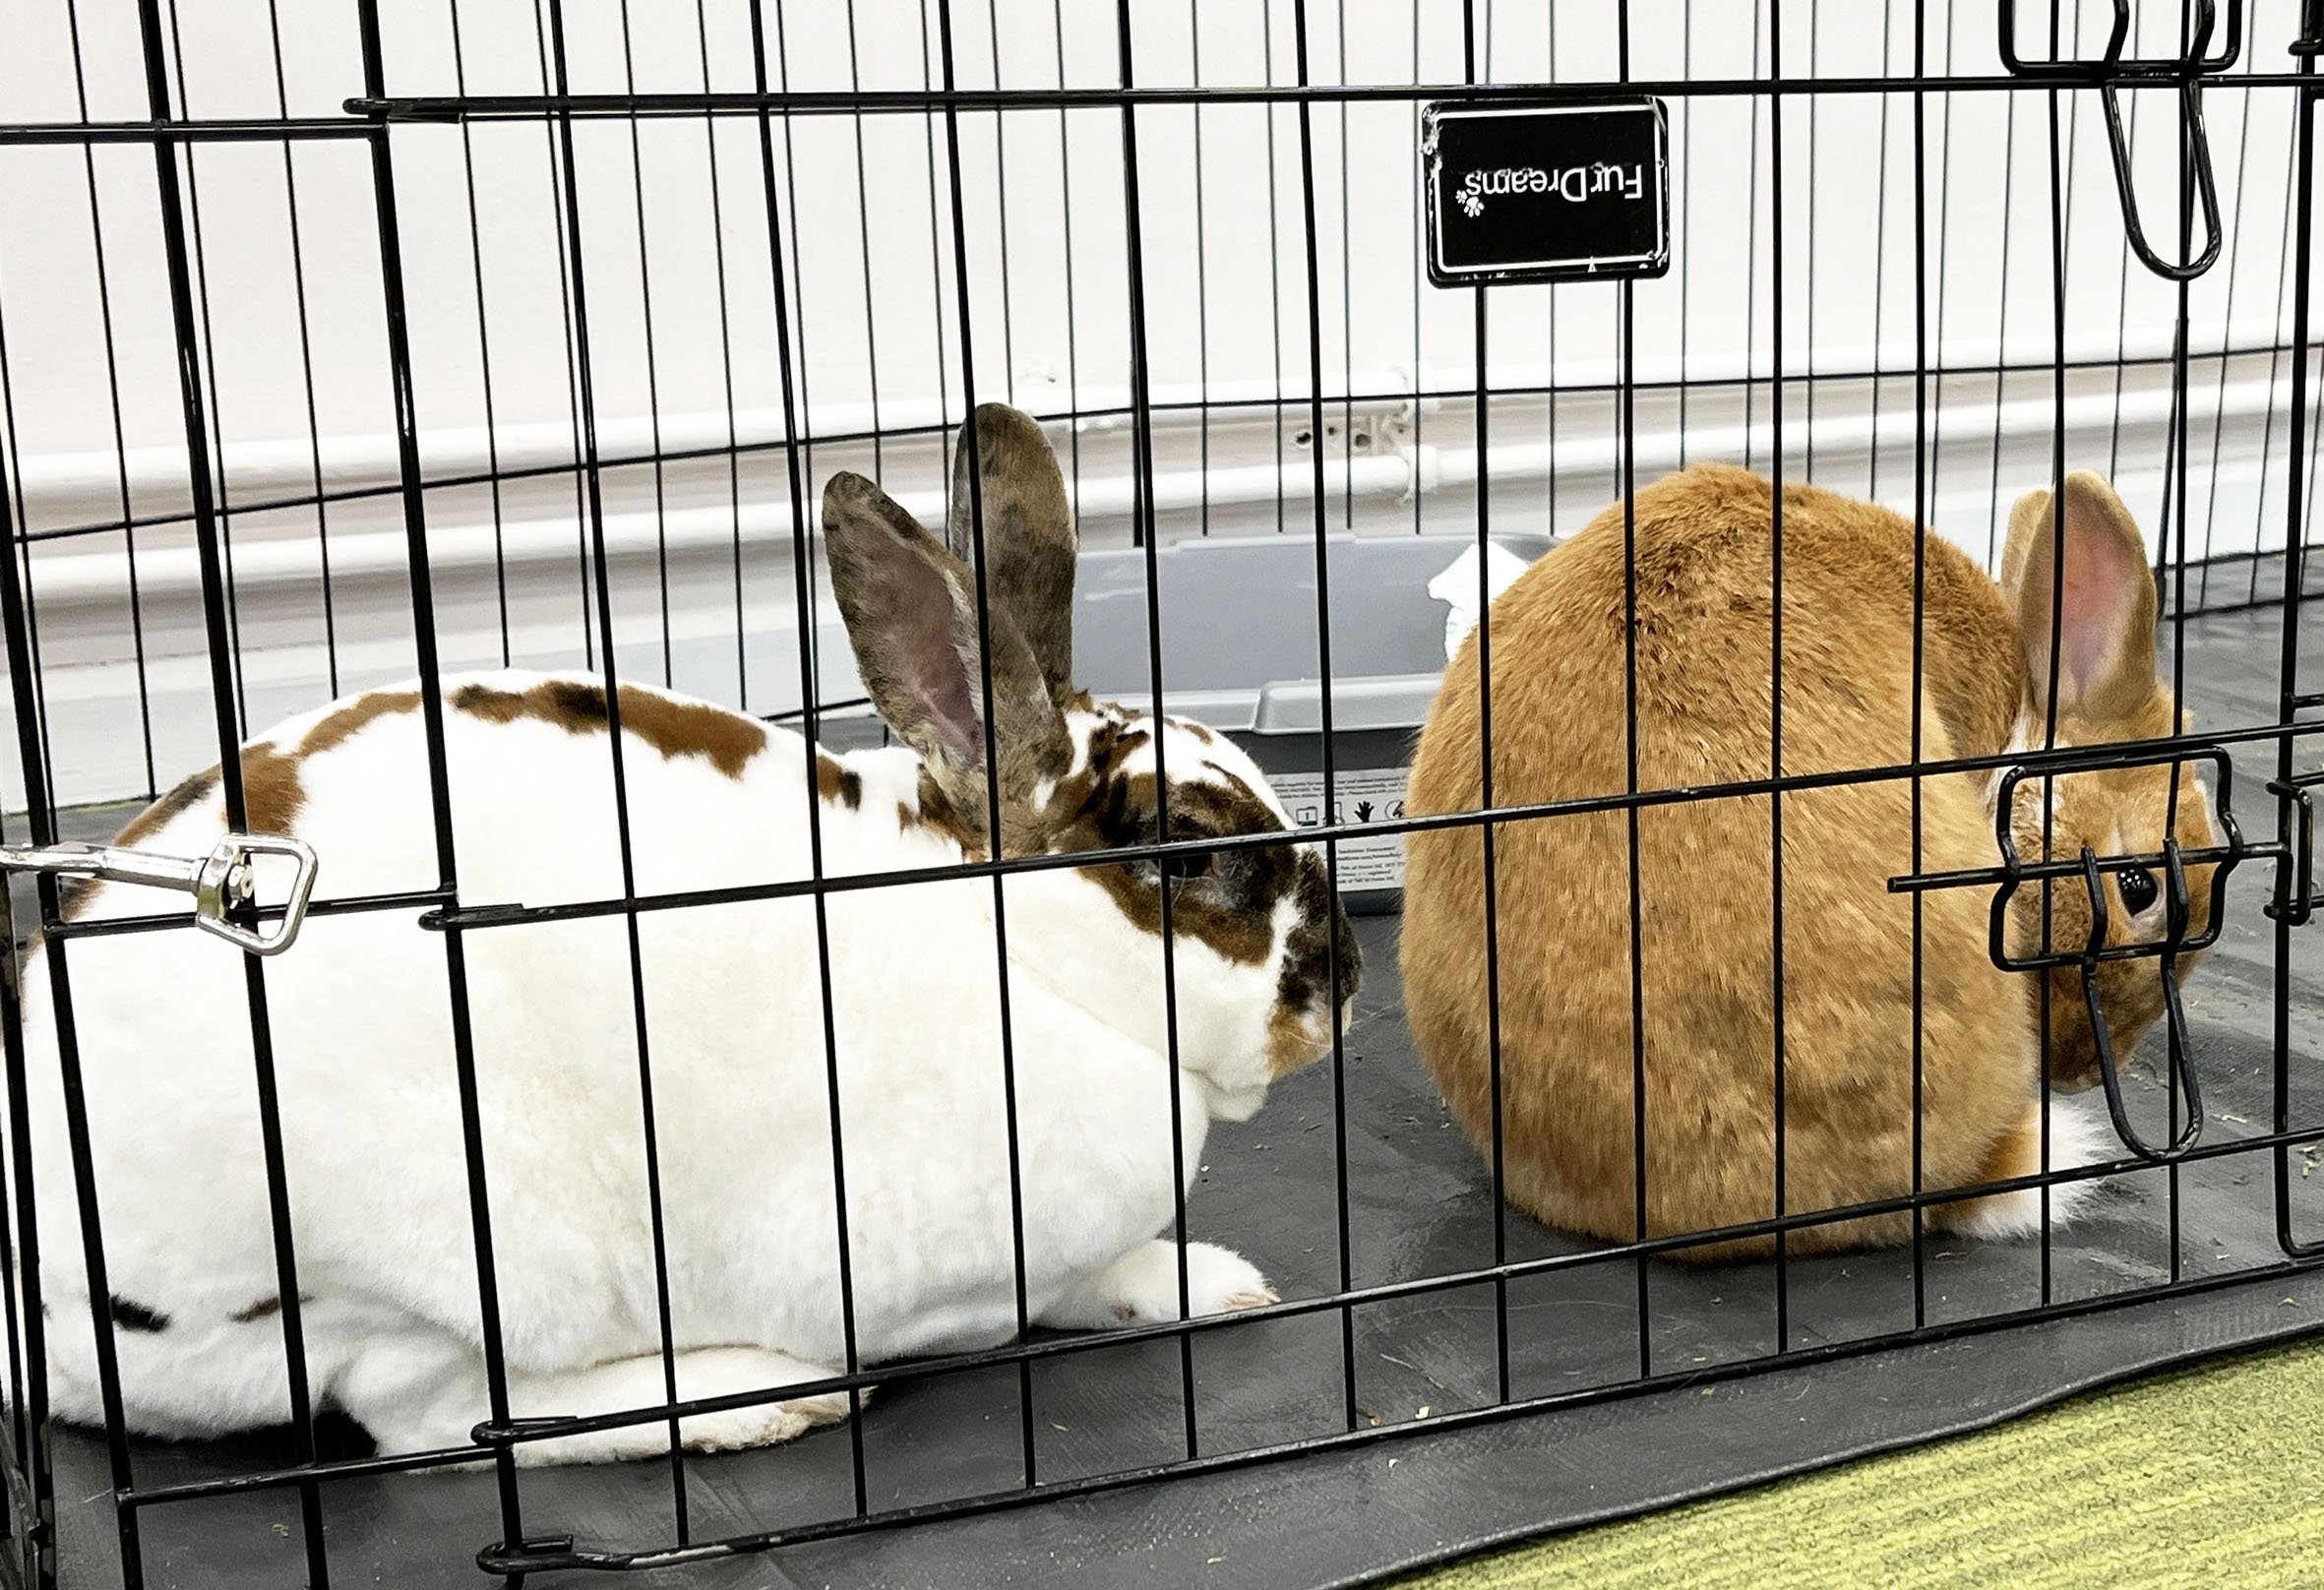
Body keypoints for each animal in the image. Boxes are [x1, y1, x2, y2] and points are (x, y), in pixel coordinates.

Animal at [14, 403, 1359, 1463]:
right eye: (1181, 849)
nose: (1341, 988)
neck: (1013, 948)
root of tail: (43, 1311)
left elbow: (1102, 1278)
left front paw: (1215, 1282)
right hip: (431, 1264)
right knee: (448, 1419)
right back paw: (759, 1396)